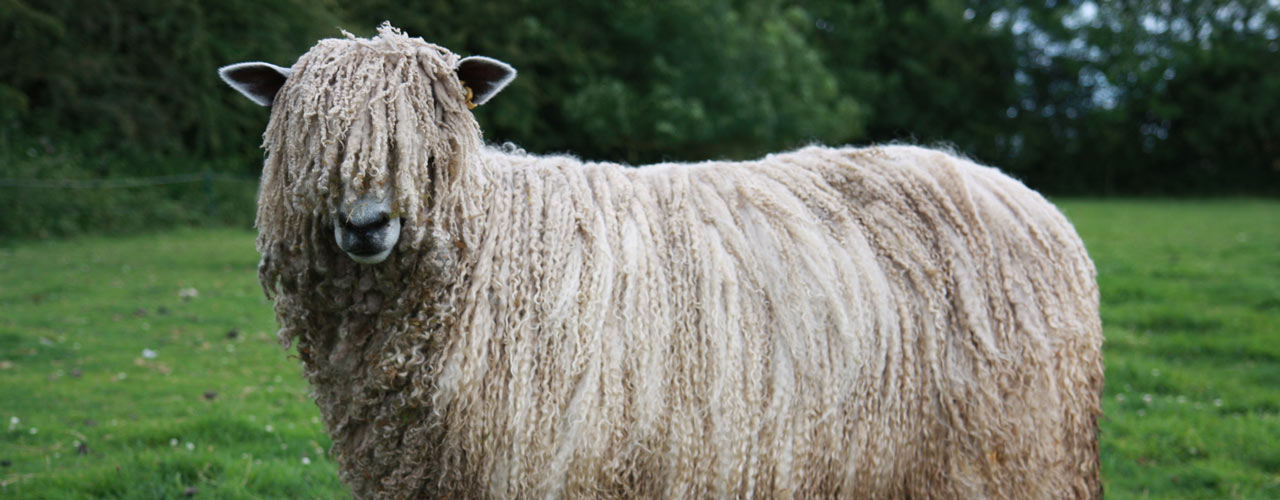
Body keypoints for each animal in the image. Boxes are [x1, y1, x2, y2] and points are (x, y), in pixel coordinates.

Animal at [217, 23, 1100, 500]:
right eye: (306, 133)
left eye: (434, 132)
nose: (367, 224)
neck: (492, 255)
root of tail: (1025, 198)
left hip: (1008, 453)